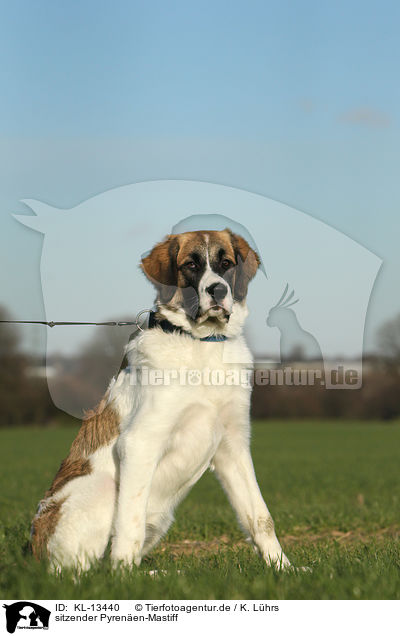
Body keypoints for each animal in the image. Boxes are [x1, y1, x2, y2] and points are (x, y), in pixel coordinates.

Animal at [29, 227, 290, 572]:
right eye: (190, 265)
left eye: (226, 263)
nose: (218, 290)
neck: (201, 343)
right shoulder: (140, 441)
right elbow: (129, 524)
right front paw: (124, 578)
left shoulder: (232, 446)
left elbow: (260, 517)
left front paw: (284, 569)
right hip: (102, 489)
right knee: (85, 571)